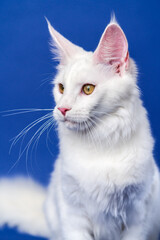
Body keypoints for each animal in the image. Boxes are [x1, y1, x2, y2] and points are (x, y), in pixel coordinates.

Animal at [0, 16, 160, 240]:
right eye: (61, 88)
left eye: (88, 89)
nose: (62, 108)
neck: (100, 142)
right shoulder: (73, 211)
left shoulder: (137, 214)